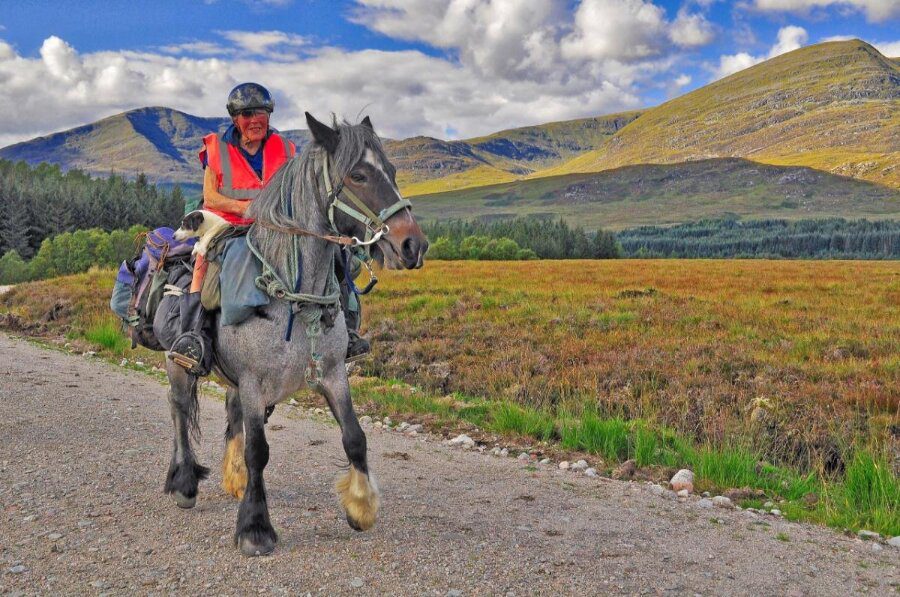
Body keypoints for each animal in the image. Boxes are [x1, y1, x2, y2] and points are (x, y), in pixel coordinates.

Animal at [152, 112, 428, 556]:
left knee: (230, 415)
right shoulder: (253, 381)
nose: (412, 245)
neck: (294, 296)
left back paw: (234, 480)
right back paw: (184, 482)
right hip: (178, 363)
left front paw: (361, 507)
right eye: (358, 175)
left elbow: (355, 437)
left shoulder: (333, 374)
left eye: (393, 171)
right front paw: (254, 527)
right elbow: (258, 450)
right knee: (179, 409)